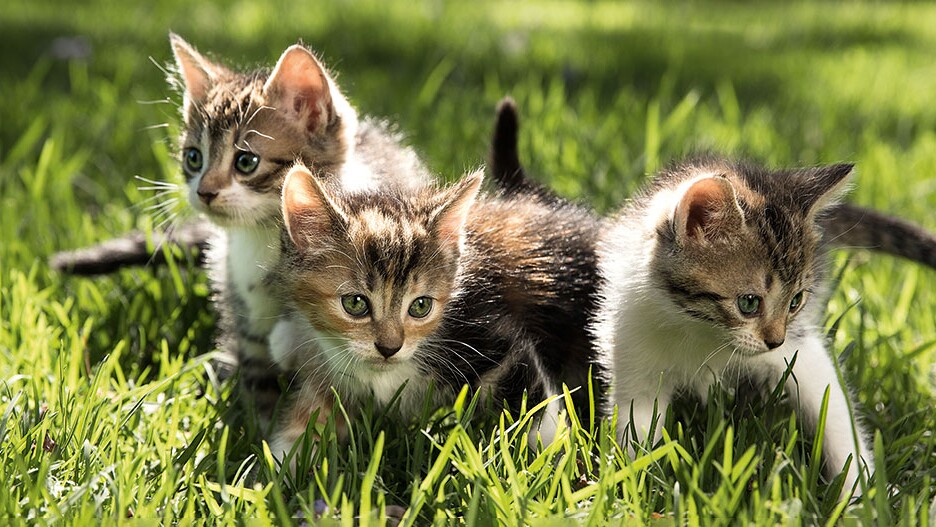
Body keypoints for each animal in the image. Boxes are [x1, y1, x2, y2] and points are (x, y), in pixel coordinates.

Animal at [266, 165, 612, 462]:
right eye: (355, 304)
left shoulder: (489, 335)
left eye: (421, 306)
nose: (389, 348)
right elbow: (313, 414)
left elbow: (537, 408)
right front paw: (281, 468)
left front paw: (559, 460)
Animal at [596, 159, 872, 498]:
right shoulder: (633, 344)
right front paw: (636, 487)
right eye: (748, 303)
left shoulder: (801, 350)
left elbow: (833, 410)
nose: (775, 341)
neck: (701, 329)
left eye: (795, 301)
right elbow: (638, 423)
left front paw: (860, 493)